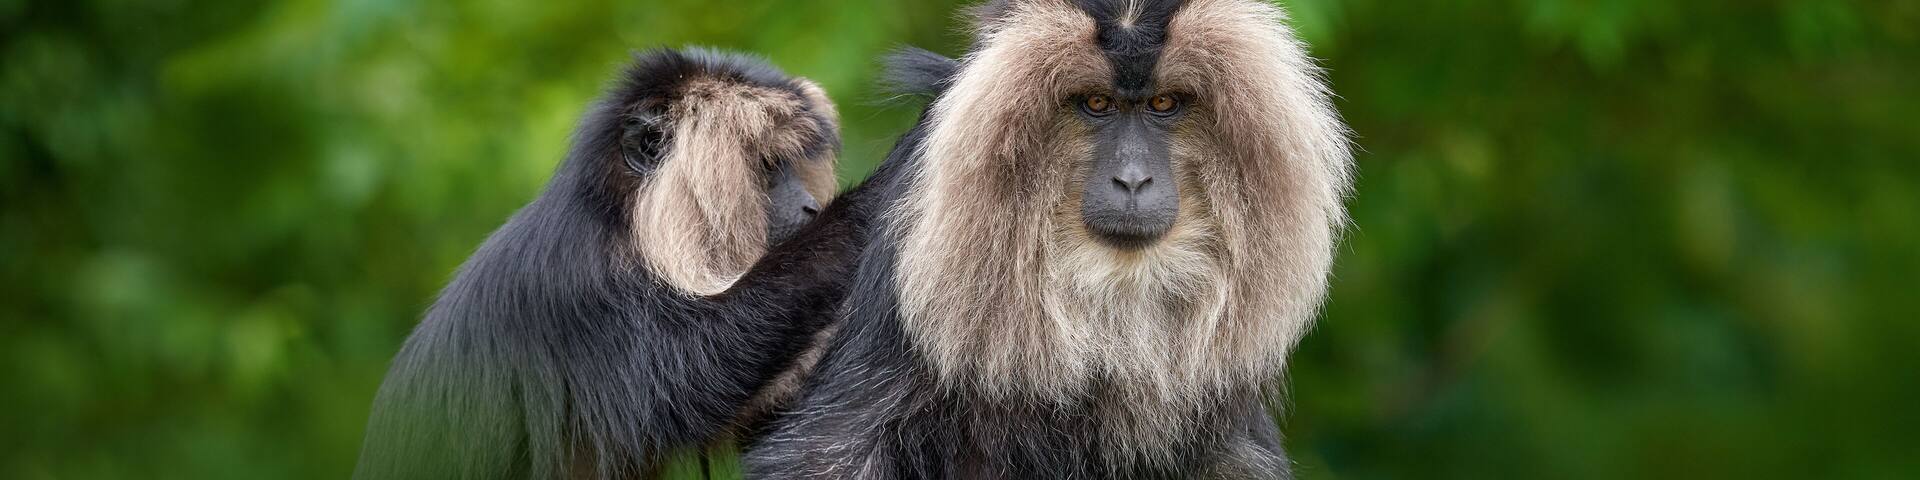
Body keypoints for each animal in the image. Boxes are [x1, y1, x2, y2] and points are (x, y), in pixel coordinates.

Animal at [352, 48, 881, 480]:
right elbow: (685, 380)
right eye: (770, 168)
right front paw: (871, 201)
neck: (622, 227)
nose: (810, 208)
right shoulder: (577, 290)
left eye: (792, 166)